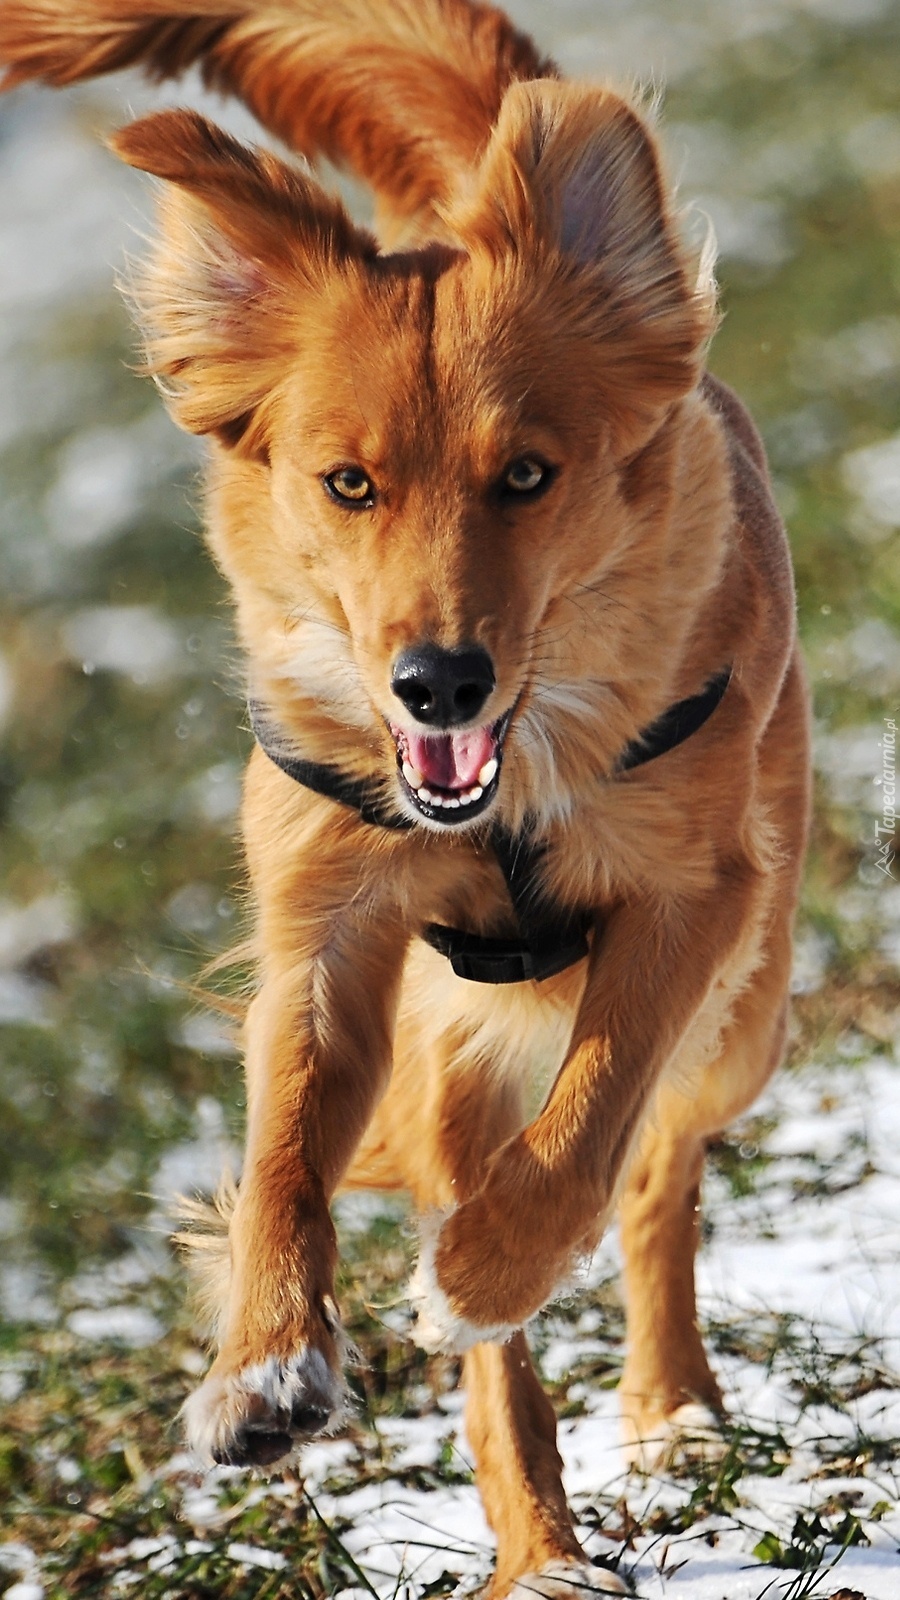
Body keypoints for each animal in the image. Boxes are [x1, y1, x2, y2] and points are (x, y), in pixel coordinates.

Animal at [0, 6, 810, 1593]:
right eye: (348, 483)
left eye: (530, 476)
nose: (438, 683)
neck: (504, 793)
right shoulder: (332, 924)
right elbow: (279, 1158)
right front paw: (260, 1369)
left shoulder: (695, 894)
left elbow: (595, 1115)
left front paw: (485, 1273)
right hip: (455, 1057)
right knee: (498, 1321)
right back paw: (540, 1543)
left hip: (746, 1013)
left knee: (660, 1164)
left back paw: (665, 1401)